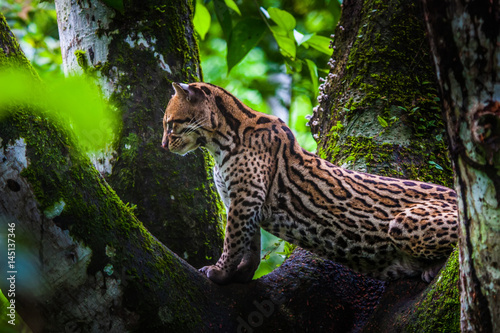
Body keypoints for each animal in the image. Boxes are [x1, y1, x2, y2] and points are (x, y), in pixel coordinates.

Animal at [162, 81, 458, 284]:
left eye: (170, 123)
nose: (163, 144)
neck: (217, 143)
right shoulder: (240, 201)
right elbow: (251, 245)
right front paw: (241, 274)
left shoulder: (245, 198)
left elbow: (233, 240)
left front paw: (220, 271)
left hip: (404, 221)